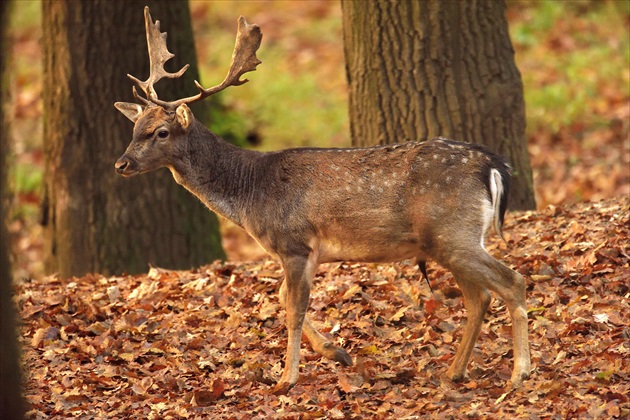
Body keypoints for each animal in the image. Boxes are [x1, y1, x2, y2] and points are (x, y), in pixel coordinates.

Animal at [116, 6, 532, 394]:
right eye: (135, 129)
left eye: (161, 132)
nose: (121, 164)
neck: (250, 192)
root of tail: (494, 165)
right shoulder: (305, 252)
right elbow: (282, 296)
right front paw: (337, 352)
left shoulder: (294, 243)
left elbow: (292, 308)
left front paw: (286, 379)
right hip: (448, 240)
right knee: (480, 297)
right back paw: (454, 371)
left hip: (452, 232)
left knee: (511, 281)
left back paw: (519, 373)